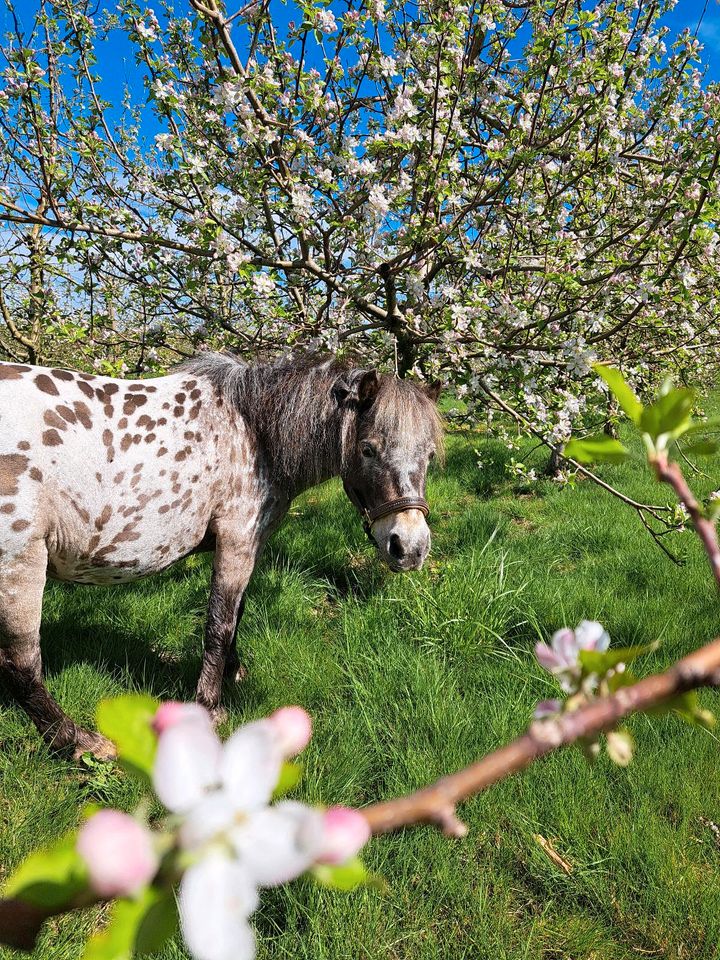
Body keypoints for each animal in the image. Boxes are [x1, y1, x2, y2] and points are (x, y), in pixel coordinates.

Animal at [0, 352, 442, 756]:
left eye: (430, 454)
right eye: (368, 449)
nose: (410, 547)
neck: (253, 432)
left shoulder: (249, 545)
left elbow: (237, 613)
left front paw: (234, 672)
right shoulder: (237, 540)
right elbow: (220, 623)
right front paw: (210, 707)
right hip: (21, 566)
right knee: (21, 666)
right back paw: (78, 742)